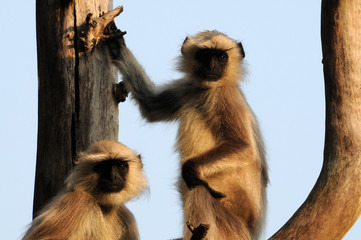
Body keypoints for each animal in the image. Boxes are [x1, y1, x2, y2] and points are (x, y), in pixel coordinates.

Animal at [108, 30, 268, 240]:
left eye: (221, 57)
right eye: (205, 55)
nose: (212, 66)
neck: (208, 88)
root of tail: (250, 231)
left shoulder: (224, 94)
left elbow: (244, 147)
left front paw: (190, 169)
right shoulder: (188, 88)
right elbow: (151, 105)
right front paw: (117, 46)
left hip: (230, 227)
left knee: (199, 190)